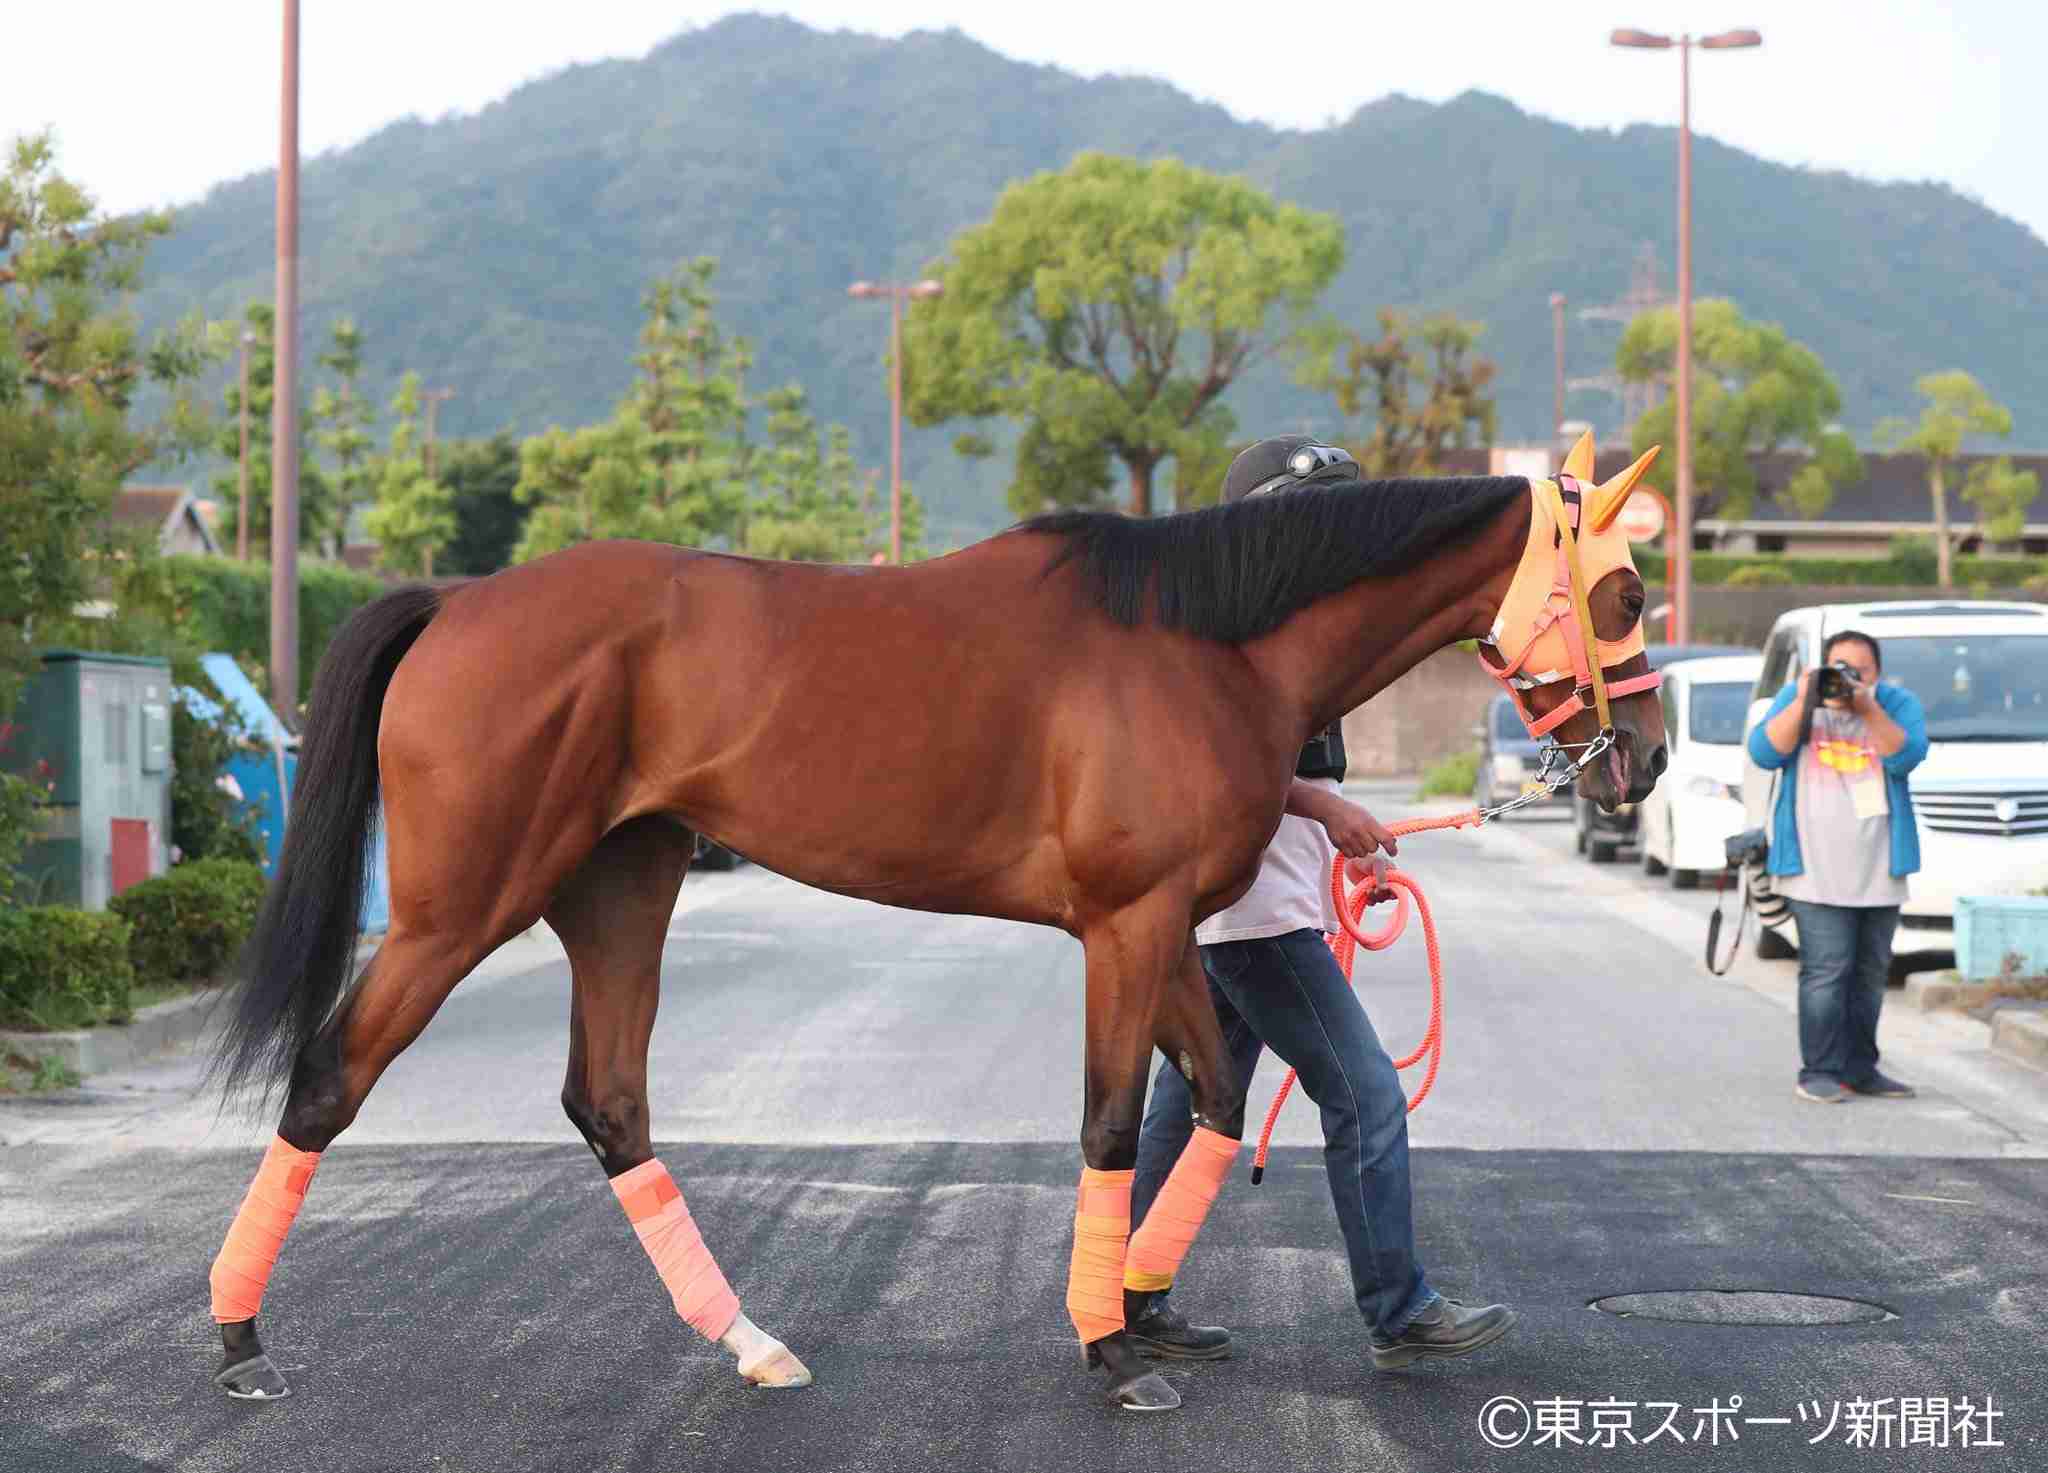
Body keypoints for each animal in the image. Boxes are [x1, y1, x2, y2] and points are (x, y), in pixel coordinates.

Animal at [203, 441, 1668, 1412]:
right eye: (1624, 595)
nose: (1644, 761)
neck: (1200, 641)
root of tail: (458, 600)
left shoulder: (1165, 929)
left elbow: (1202, 1101)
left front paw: (1138, 1310)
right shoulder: (1125, 925)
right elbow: (1106, 1123)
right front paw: (1110, 1348)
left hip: (623, 885)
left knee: (608, 1101)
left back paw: (750, 1340)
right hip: (460, 905)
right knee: (331, 1076)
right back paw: (239, 1340)